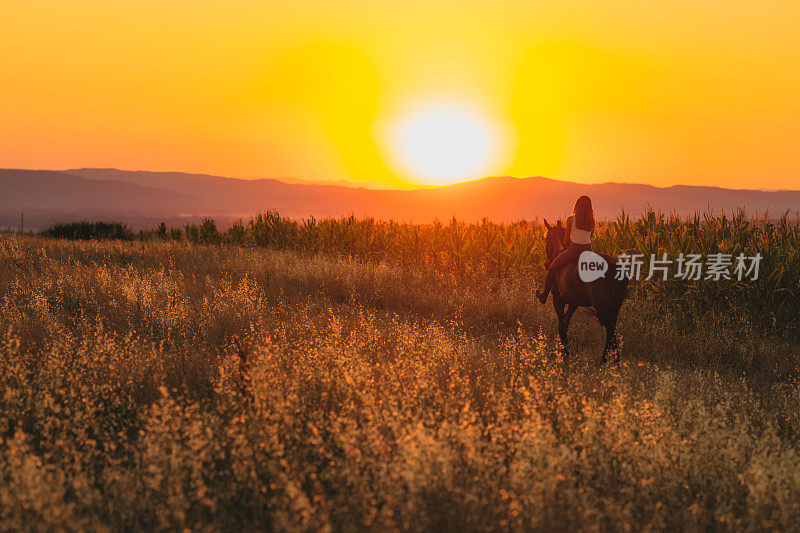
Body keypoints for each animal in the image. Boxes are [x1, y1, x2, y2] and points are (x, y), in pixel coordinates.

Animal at [540, 218, 628, 364]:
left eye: (546, 238)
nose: (547, 263)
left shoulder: (558, 300)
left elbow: (561, 324)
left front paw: (564, 354)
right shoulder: (573, 302)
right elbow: (566, 322)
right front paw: (565, 352)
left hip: (603, 307)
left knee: (609, 329)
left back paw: (605, 360)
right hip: (615, 307)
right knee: (612, 330)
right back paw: (614, 361)